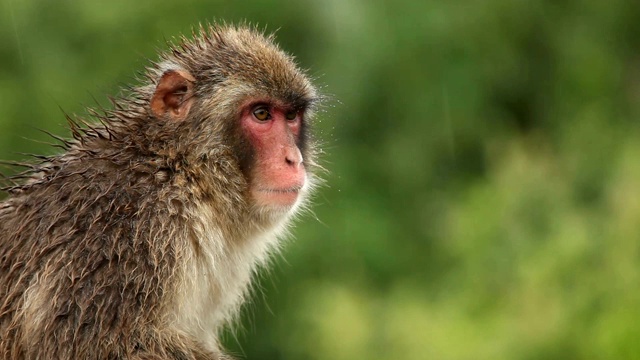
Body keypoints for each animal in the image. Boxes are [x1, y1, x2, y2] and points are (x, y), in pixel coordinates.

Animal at [0, 23, 320, 358]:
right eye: (261, 114)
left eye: (291, 116)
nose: (293, 159)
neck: (182, 169)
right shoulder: (131, 229)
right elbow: (87, 342)